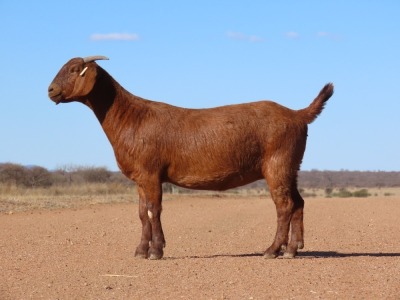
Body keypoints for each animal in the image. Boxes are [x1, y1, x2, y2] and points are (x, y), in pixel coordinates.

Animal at [47, 56, 334, 260]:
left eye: (74, 69)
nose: (50, 90)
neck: (130, 116)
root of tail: (297, 114)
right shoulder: (140, 178)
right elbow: (141, 213)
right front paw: (140, 251)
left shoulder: (151, 173)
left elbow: (154, 210)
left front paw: (156, 251)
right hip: (291, 166)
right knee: (298, 203)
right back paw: (293, 249)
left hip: (277, 164)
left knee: (284, 205)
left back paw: (272, 250)